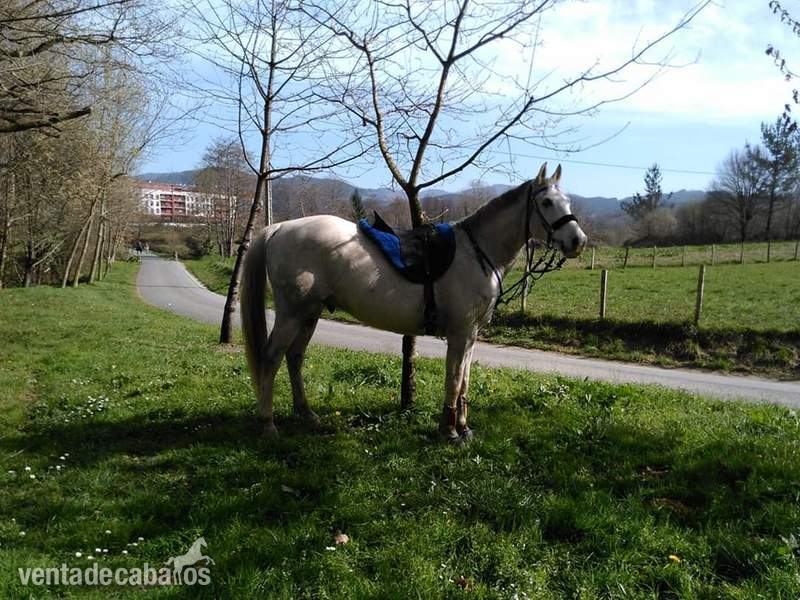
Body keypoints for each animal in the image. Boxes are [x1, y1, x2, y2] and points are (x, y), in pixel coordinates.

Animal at [240, 163, 587, 442]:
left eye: (567, 201)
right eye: (546, 202)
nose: (578, 241)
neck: (477, 253)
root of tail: (279, 228)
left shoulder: (472, 335)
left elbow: (465, 382)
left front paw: (464, 428)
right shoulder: (459, 334)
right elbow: (453, 381)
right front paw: (449, 432)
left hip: (309, 313)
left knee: (294, 358)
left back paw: (307, 414)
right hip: (291, 314)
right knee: (271, 359)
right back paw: (267, 424)